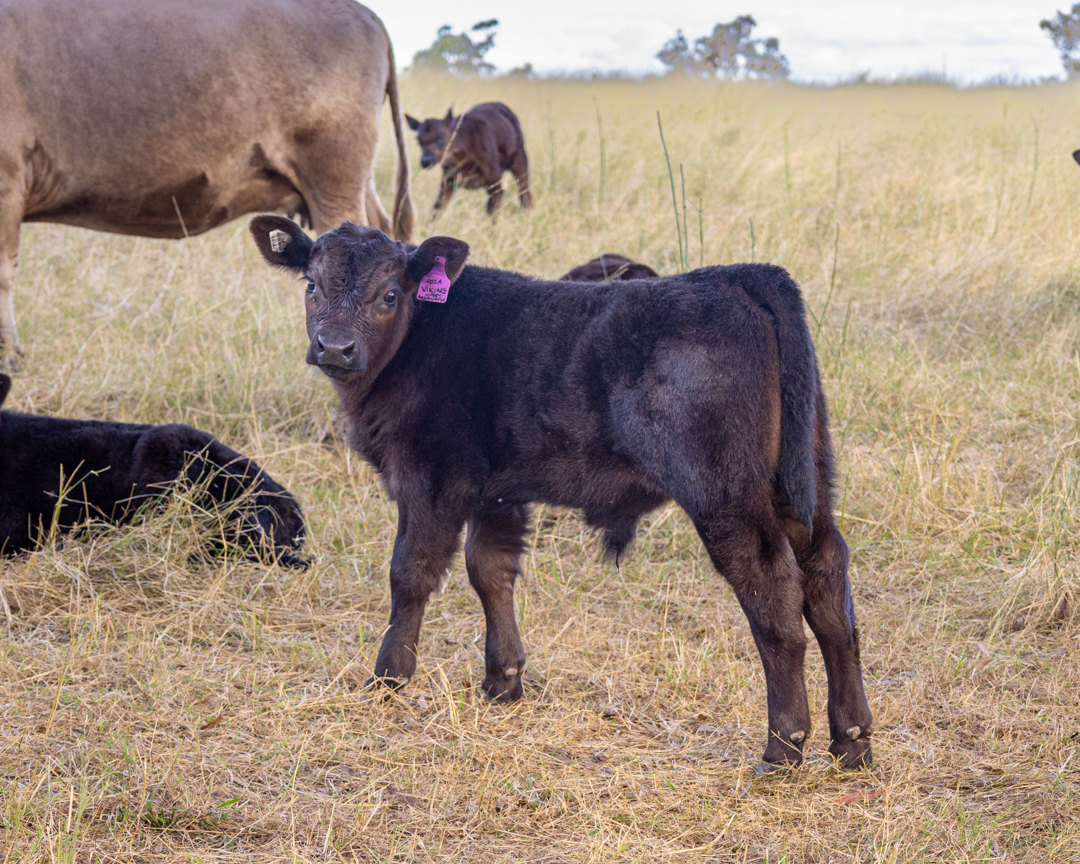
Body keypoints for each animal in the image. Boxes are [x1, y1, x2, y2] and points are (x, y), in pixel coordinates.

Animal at [249, 214, 874, 772]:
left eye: (389, 294)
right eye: (310, 284)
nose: (335, 347)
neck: (420, 338)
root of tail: (738, 276)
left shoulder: (431, 478)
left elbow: (411, 573)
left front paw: (388, 677)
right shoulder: (498, 492)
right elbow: (490, 571)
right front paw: (502, 681)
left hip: (727, 495)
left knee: (774, 594)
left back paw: (783, 748)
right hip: (804, 483)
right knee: (828, 585)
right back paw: (852, 743)